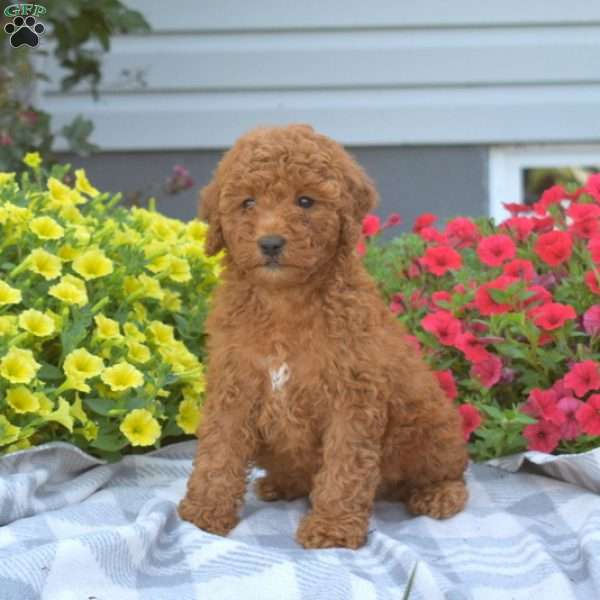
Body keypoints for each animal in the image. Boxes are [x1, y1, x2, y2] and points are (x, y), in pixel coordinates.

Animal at [178, 124, 468, 552]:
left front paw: (331, 529)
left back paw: (439, 494)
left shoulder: (352, 398)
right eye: (248, 202)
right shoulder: (234, 387)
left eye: (305, 201)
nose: (270, 243)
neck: (283, 302)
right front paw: (204, 511)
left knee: (450, 470)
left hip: (431, 426)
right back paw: (281, 484)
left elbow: (344, 469)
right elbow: (218, 451)